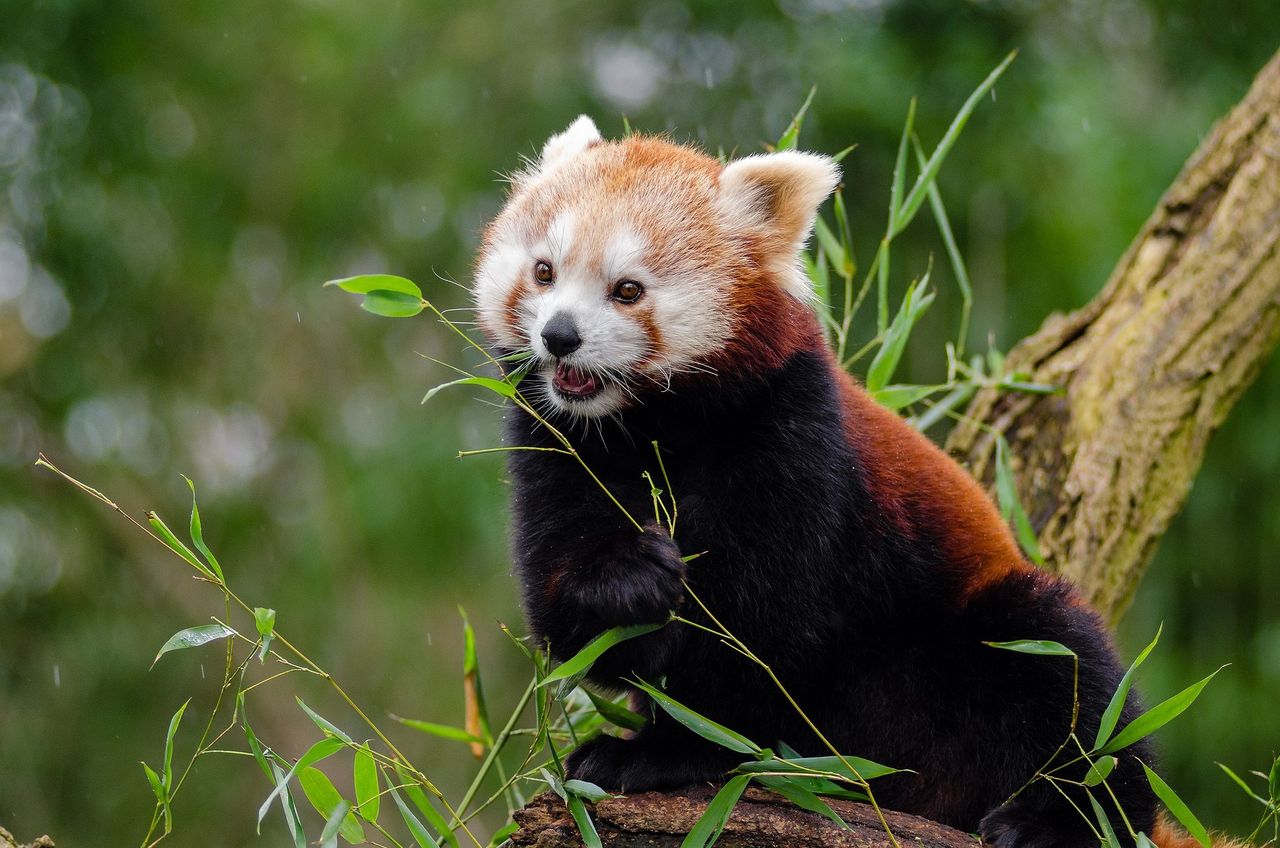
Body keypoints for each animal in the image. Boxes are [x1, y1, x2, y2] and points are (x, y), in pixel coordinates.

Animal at [473, 114, 1218, 848]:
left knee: (1071, 677)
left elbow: (760, 629)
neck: (647, 429)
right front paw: (630, 581)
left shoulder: (790, 437)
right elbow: (572, 619)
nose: (559, 336)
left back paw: (1067, 818)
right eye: (543, 272)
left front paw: (674, 748)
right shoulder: (554, 443)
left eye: (627, 289)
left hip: (971, 626)